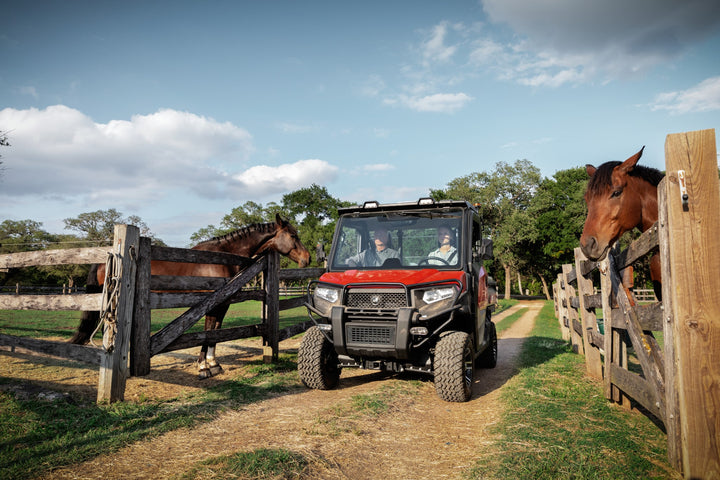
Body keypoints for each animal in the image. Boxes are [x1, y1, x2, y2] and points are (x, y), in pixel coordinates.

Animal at [70, 215, 310, 378]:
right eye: (293, 235)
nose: (307, 258)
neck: (221, 259)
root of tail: (106, 257)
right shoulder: (211, 304)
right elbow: (207, 332)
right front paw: (203, 367)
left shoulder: (222, 304)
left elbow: (215, 332)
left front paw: (213, 364)